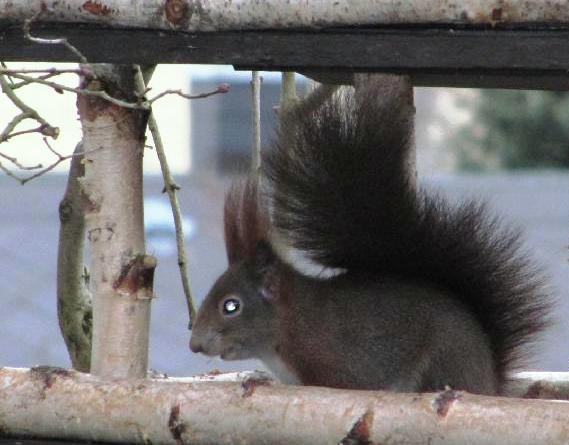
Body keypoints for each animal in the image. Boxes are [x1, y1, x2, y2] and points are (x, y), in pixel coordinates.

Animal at [191, 74, 552, 394]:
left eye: (231, 306)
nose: (194, 345)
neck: (292, 322)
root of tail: (489, 381)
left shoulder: (340, 363)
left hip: (444, 361)